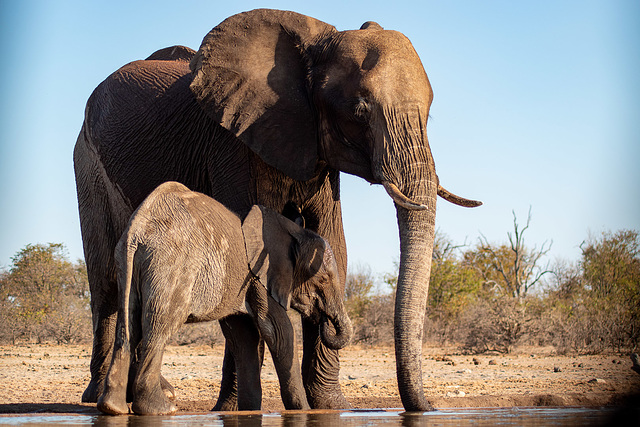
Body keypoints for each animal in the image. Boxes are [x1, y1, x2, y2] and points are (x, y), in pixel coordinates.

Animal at [97, 182, 352, 416]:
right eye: (323, 280)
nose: (323, 319)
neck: (291, 230)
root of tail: (136, 232)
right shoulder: (258, 276)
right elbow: (279, 332)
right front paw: (304, 411)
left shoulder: (243, 282)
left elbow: (242, 335)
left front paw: (250, 411)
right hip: (170, 266)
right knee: (159, 328)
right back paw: (160, 410)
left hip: (127, 265)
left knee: (128, 326)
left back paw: (112, 408)